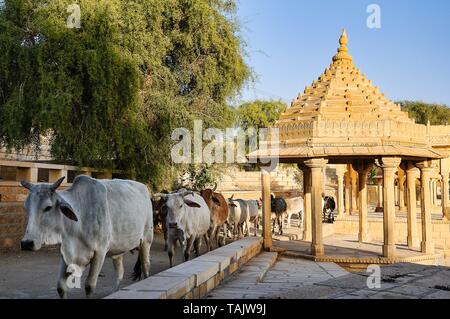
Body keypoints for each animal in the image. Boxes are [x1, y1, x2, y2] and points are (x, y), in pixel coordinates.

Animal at [20, 176, 154, 298]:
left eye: (48, 207)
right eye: (26, 208)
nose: (26, 243)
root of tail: (144, 187)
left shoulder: (100, 252)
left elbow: (89, 286)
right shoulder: (66, 254)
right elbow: (61, 287)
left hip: (146, 241)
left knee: (146, 266)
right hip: (118, 250)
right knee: (120, 273)